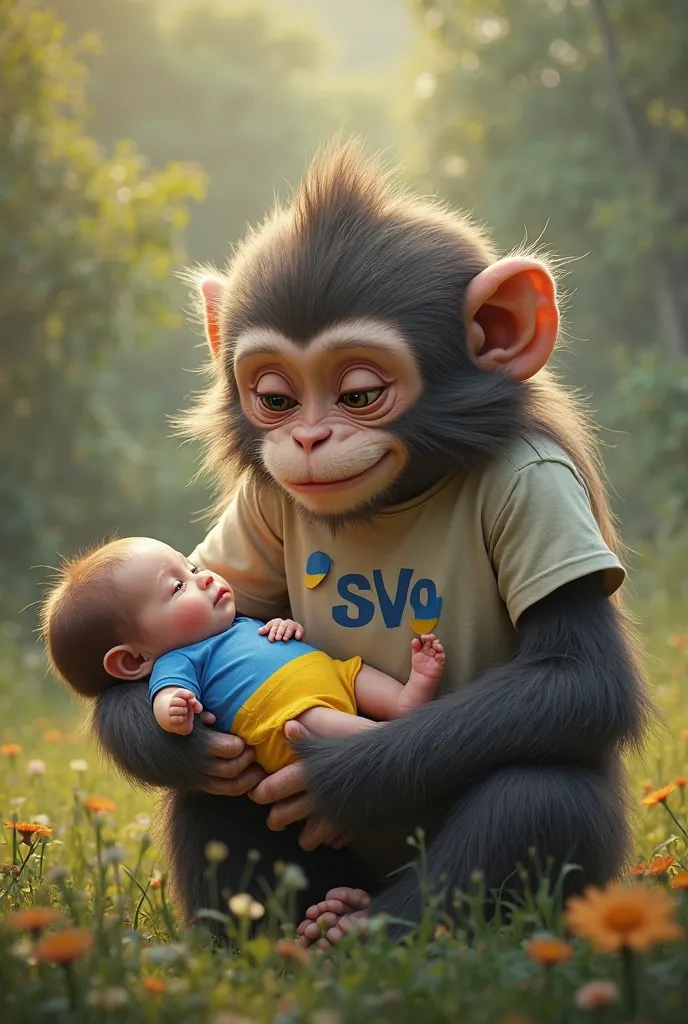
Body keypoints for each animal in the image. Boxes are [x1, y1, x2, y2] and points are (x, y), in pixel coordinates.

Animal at [87, 140, 651, 937]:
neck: (399, 497)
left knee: (541, 790)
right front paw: (191, 745)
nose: (308, 437)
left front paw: (330, 779)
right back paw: (284, 934)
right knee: (211, 802)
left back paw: (366, 926)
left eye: (358, 394)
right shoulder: (258, 503)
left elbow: (584, 678)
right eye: (275, 397)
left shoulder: (541, 489)